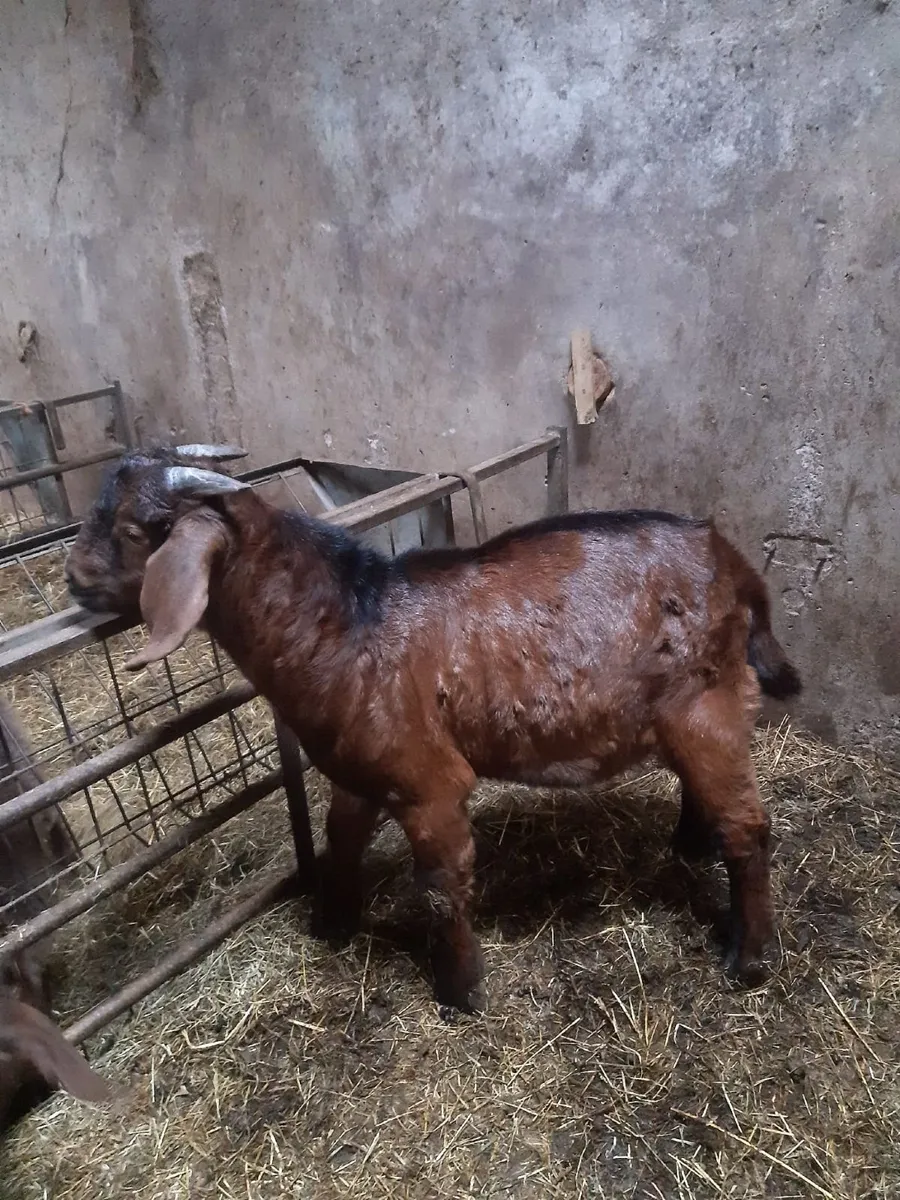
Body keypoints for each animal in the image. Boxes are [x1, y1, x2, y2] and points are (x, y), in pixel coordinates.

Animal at [65, 444, 801, 1012]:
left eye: (140, 525)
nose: (73, 577)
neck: (346, 622)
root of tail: (732, 560)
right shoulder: (359, 768)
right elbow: (339, 838)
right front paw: (330, 925)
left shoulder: (428, 783)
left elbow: (444, 885)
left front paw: (460, 992)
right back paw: (691, 848)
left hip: (707, 703)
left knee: (750, 828)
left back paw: (749, 956)